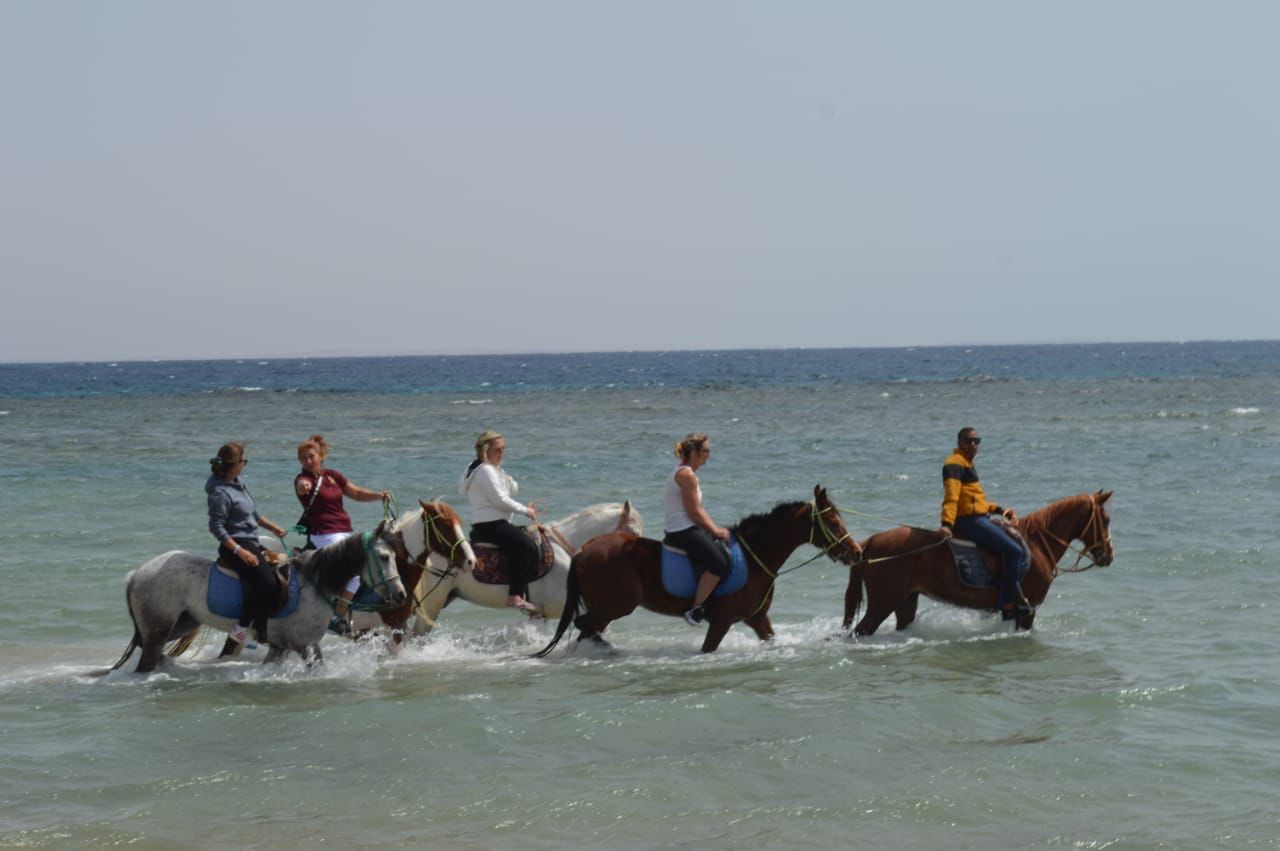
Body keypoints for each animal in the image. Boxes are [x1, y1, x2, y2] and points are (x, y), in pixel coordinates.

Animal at [107, 522, 408, 674]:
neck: (313, 583)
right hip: (158, 630)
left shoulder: (279, 647)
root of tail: (136, 574)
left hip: (181, 623)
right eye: (384, 557)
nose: (401, 594)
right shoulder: (306, 645)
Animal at [534, 486, 861, 656]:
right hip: (617, 605)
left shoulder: (757, 619)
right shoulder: (721, 622)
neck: (755, 557)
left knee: (588, 629)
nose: (856, 552)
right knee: (585, 625)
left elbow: (770, 638)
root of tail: (582, 551)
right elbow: (708, 647)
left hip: (606, 606)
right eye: (833, 522)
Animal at [842, 490, 1114, 635]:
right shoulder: (1027, 611)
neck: (1037, 544)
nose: (1109, 555)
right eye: (1107, 519)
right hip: (882, 604)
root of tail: (869, 542)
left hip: (905, 602)